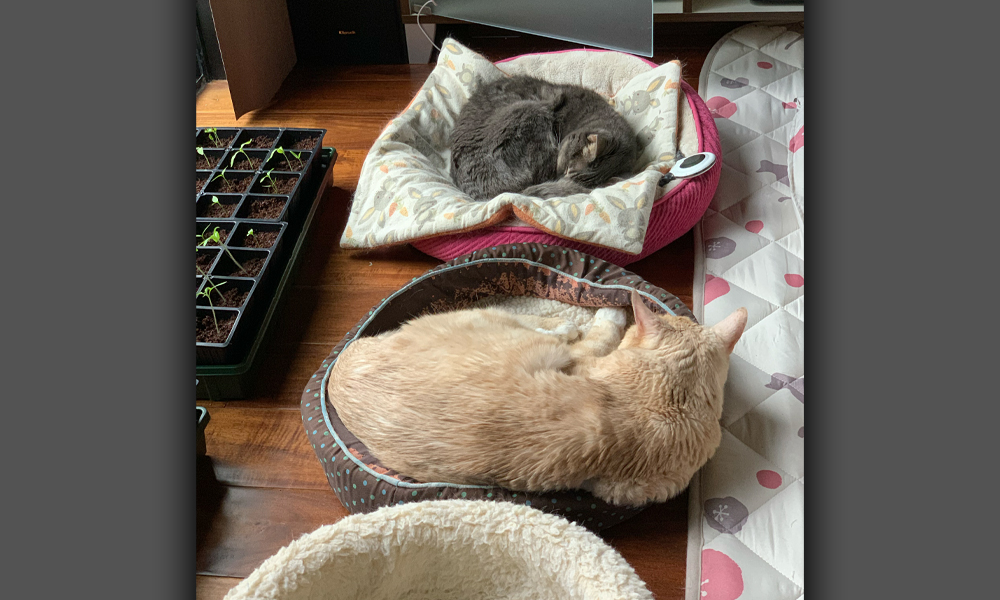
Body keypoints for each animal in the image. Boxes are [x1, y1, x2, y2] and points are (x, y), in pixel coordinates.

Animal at [324, 290, 748, 506]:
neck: (670, 397)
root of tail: (336, 368)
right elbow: (602, 333)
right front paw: (610, 312)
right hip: (495, 322)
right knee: (542, 324)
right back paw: (577, 317)